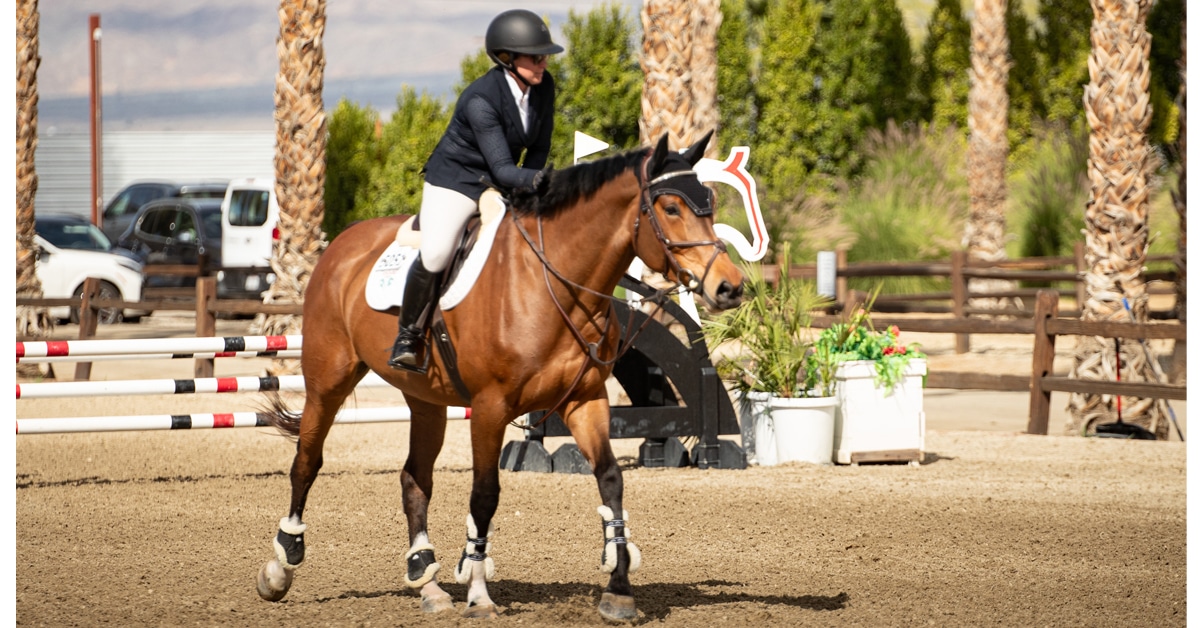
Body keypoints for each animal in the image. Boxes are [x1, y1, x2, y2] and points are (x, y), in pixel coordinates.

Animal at [254, 131, 745, 622]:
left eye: (709, 203)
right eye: (671, 208)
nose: (730, 287)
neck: (555, 284)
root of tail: (341, 243)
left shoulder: (585, 401)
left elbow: (610, 480)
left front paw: (619, 589)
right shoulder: (490, 407)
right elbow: (485, 494)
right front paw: (478, 593)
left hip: (425, 399)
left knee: (415, 478)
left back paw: (427, 582)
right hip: (328, 380)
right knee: (307, 462)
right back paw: (281, 565)